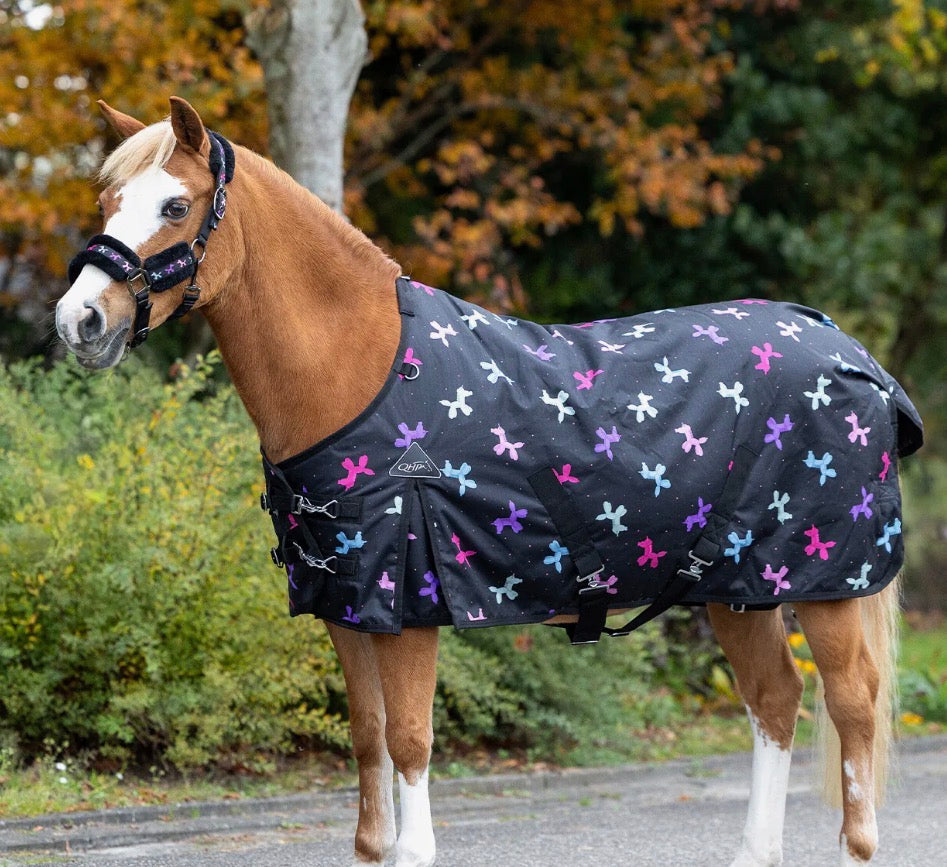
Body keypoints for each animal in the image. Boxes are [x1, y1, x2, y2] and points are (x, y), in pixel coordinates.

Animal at [56, 97, 922, 867]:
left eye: (175, 204)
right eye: (106, 200)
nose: (79, 320)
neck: (360, 370)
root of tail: (847, 351)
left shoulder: (408, 602)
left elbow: (409, 738)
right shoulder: (346, 601)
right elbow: (367, 735)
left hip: (825, 583)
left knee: (852, 704)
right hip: (738, 587)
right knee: (774, 699)